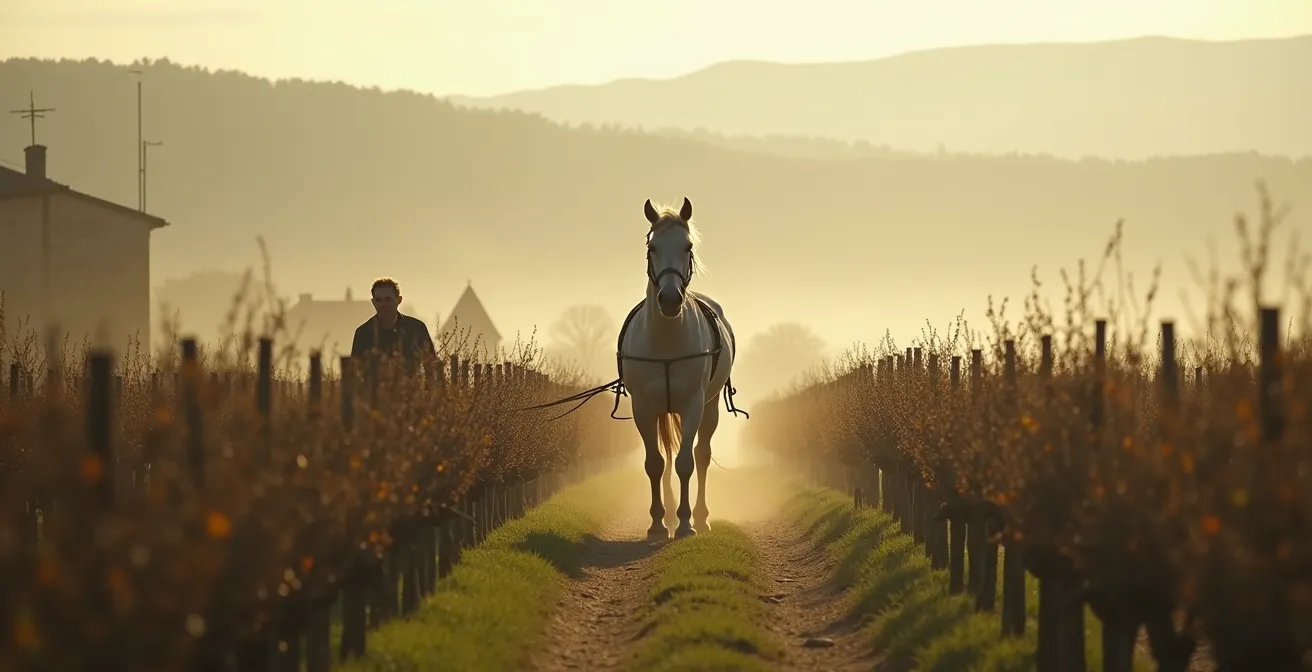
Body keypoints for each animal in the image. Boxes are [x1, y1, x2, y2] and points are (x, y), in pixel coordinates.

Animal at [616, 197, 738, 540]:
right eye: (652, 247)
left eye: (688, 246)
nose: (670, 300)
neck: (666, 340)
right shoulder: (644, 408)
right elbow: (655, 464)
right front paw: (658, 523)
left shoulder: (693, 404)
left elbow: (687, 462)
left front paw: (686, 523)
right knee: (667, 457)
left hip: (710, 406)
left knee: (701, 455)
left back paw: (700, 516)